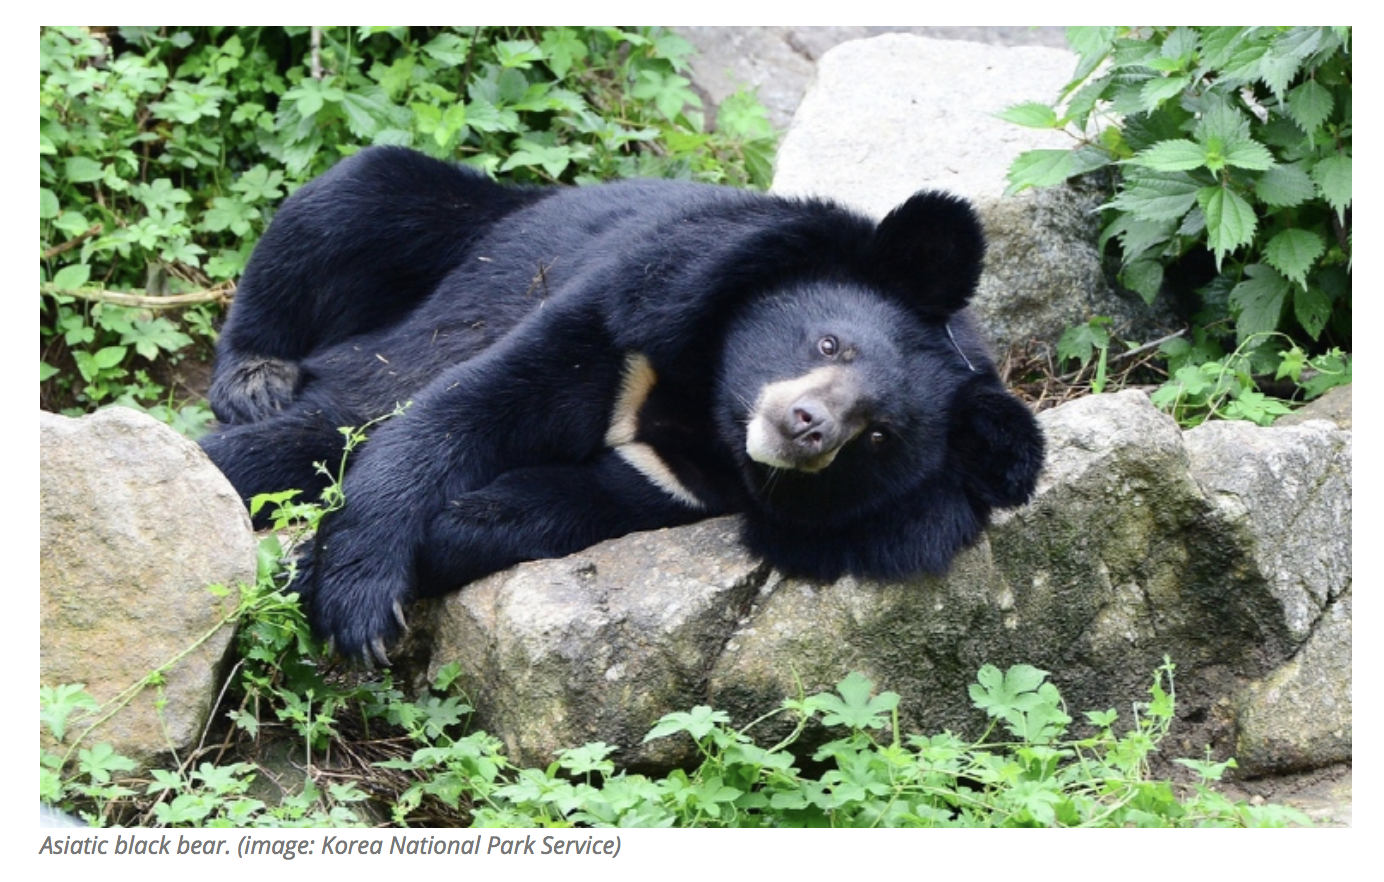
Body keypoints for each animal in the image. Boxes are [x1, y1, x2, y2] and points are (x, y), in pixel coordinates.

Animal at [200, 145, 1044, 662]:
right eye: (829, 343)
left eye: (878, 436)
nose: (804, 426)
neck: (705, 407)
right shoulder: (641, 302)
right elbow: (462, 410)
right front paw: (358, 603)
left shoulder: (682, 483)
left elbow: (538, 509)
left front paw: (323, 567)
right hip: (472, 230)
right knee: (352, 204)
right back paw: (254, 382)